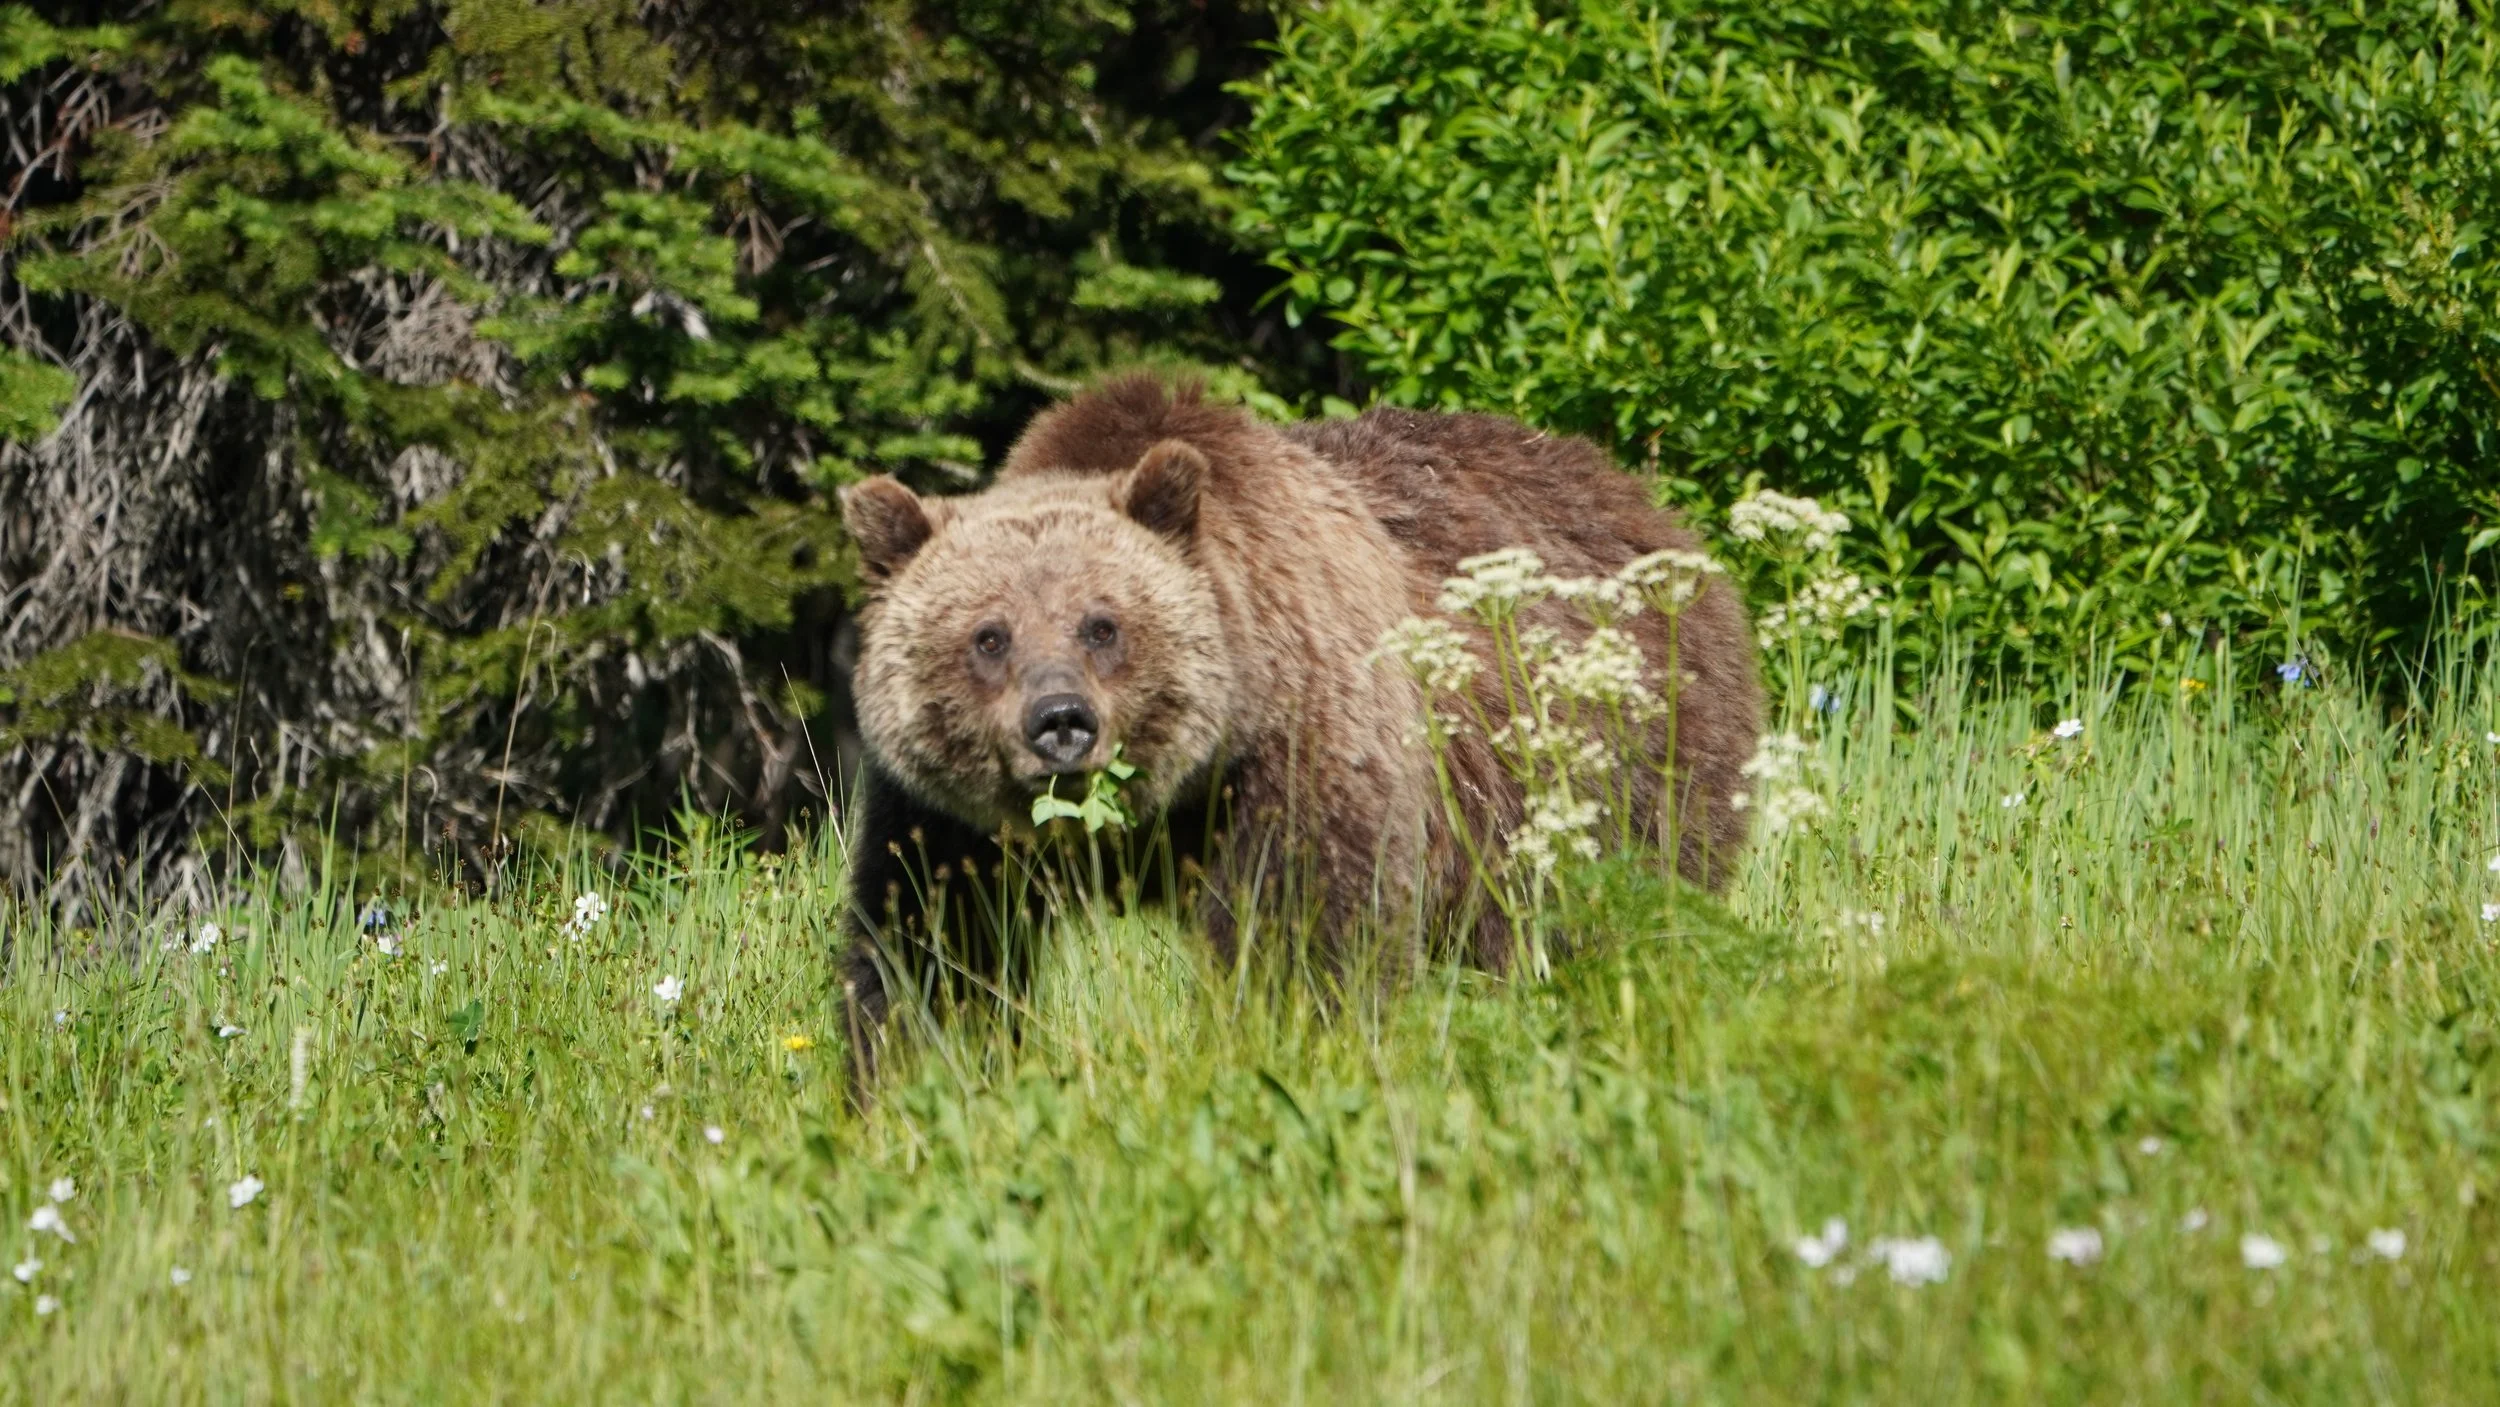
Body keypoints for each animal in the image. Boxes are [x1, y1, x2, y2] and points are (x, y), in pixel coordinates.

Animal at [835, 376, 1761, 1088]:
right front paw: (914, 1078)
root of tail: (1641, 499)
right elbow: (928, 946)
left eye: (1102, 624)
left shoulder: (1296, 747)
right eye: (989, 636)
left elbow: (1308, 929)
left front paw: (1290, 1048)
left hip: (1613, 767)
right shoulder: (944, 819)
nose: (1060, 722)